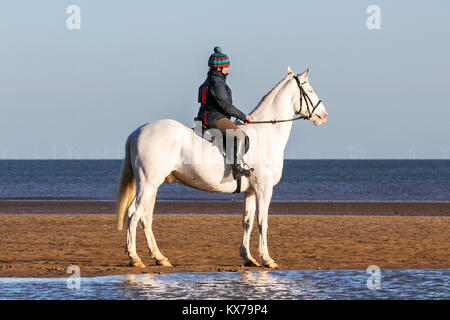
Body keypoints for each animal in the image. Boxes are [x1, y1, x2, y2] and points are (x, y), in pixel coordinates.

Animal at [116, 66, 326, 268]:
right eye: (310, 89)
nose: (323, 115)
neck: (265, 133)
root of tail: (138, 131)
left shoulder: (250, 191)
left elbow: (247, 222)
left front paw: (248, 258)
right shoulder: (263, 188)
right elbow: (262, 221)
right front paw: (267, 259)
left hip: (154, 185)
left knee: (145, 217)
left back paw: (159, 257)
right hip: (148, 183)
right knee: (133, 213)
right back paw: (134, 257)